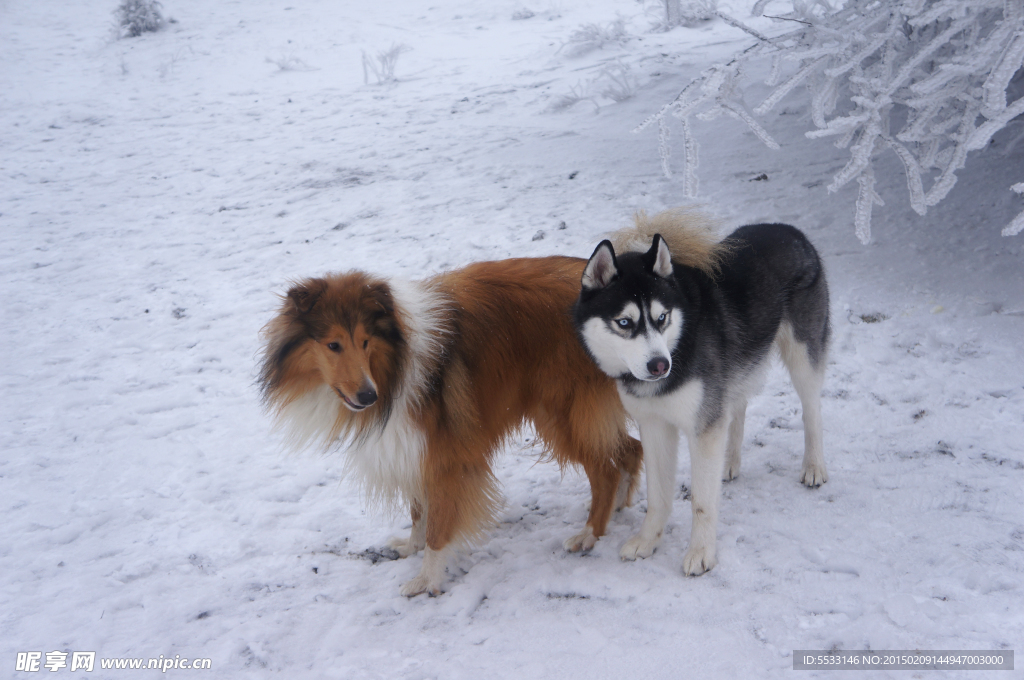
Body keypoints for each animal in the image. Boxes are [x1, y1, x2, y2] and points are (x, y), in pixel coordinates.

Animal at [258, 258, 638, 598]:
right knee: (630, 450)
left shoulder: (445, 455)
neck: (396, 362)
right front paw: (411, 546)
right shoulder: (412, 446)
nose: (367, 396)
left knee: (606, 469)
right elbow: (418, 511)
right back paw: (618, 506)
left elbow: (438, 527)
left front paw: (427, 580)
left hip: (562, 414)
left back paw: (589, 533)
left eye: (365, 341)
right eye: (333, 345)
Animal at [577, 210, 831, 573]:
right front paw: (647, 540)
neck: (680, 341)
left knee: (811, 409)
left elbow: (701, 501)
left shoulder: (702, 426)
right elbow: (658, 495)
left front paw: (700, 552)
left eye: (662, 318)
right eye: (624, 322)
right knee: (736, 406)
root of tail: (788, 229)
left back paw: (813, 466)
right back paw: (729, 461)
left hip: (802, 356)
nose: (659, 365)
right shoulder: (654, 425)